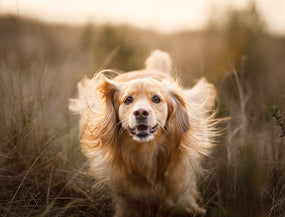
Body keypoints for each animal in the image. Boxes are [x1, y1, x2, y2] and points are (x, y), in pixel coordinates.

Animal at [69, 50, 217, 216]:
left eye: (156, 99)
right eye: (128, 100)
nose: (141, 112)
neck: (145, 152)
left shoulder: (180, 187)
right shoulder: (126, 199)